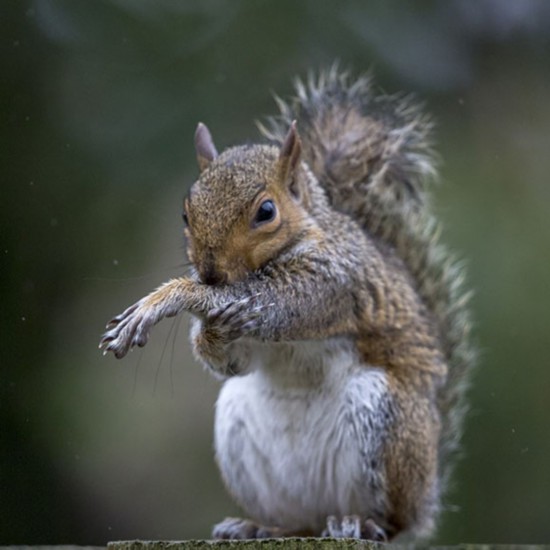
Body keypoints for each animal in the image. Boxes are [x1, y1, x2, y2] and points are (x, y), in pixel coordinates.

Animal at [100, 68, 478, 544]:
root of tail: (425, 502)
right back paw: (258, 526)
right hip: (240, 429)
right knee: (300, 521)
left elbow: (286, 300)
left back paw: (363, 523)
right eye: (186, 214)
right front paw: (212, 331)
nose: (209, 273)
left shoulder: (336, 279)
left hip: (386, 422)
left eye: (266, 211)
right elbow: (233, 361)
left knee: (391, 523)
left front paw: (167, 299)